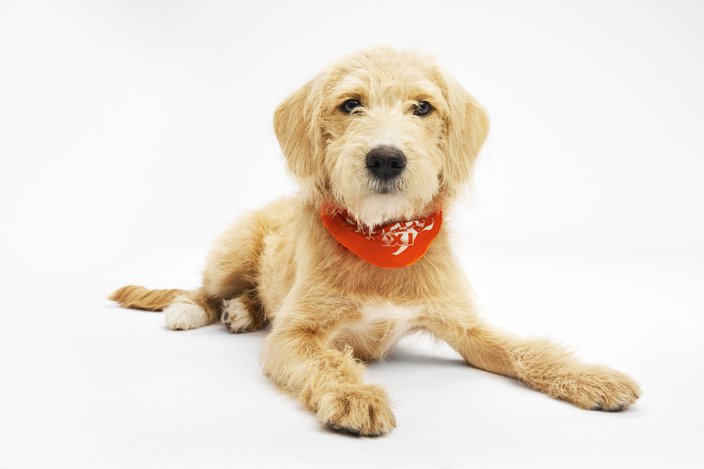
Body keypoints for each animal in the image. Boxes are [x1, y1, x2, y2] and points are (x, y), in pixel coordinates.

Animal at [110, 46, 640, 436]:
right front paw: (355, 395)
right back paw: (195, 308)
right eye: (351, 104)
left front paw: (590, 377)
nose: (386, 158)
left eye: (422, 107)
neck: (383, 237)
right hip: (232, 253)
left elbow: (523, 349)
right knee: (204, 287)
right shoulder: (295, 335)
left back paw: (241, 312)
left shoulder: (466, 326)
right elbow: (326, 361)